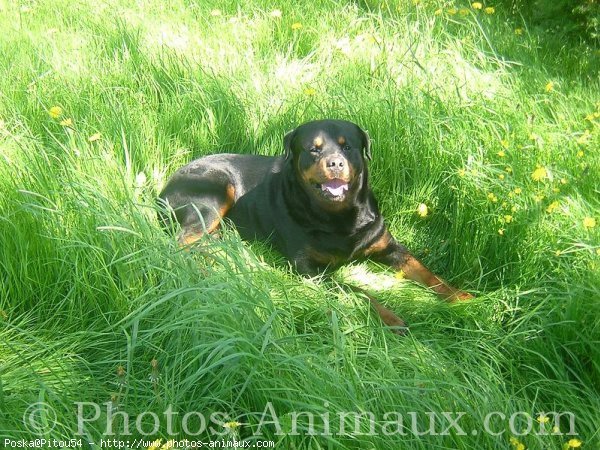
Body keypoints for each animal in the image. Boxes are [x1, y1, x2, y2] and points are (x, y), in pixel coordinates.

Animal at [159, 119, 474, 334]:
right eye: (313, 150)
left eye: (348, 146)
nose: (335, 163)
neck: (340, 218)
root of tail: (164, 189)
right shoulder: (309, 268)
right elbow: (355, 289)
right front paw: (390, 317)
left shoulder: (390, 247)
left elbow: (425, 270)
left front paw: (461, 297)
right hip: (215, 189)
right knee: (179, 243)